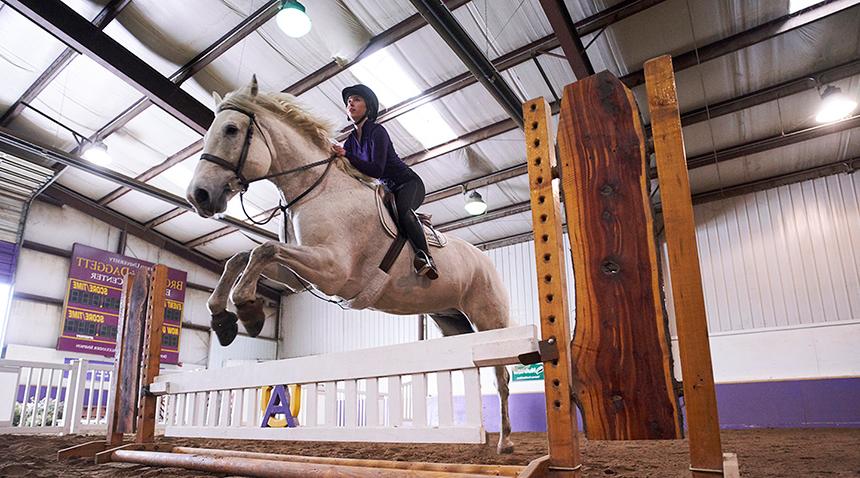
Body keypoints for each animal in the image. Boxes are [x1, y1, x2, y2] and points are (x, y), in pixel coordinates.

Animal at [186, 76, 512, 454]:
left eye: (232, 130)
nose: (198, 196)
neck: (316, 190)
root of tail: (485, 259)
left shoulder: (333, 270)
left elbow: (264, 250)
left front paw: (248, 312)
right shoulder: (299, 276)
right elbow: (244, 257)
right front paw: (223, 319)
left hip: (490, 318)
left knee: (502, 373)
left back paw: (505, 442)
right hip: (451, 319)